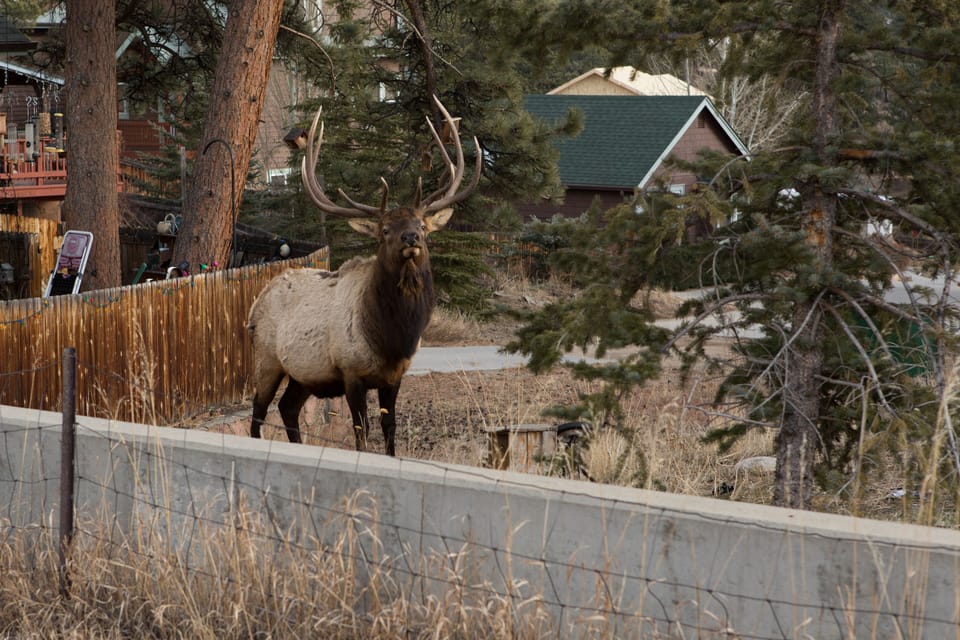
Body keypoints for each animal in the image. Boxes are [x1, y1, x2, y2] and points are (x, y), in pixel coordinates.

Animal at [247, 96, 481, 456]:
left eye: (422, 225)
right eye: (385, 229)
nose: (410, 237)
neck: (392, 338)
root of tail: (256, 303)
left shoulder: (395, 375)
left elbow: (389, 428)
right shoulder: (350, 371)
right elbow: (361, 432)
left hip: (303, 375)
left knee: (288, 408)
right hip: (267, 359)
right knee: (258, 412)